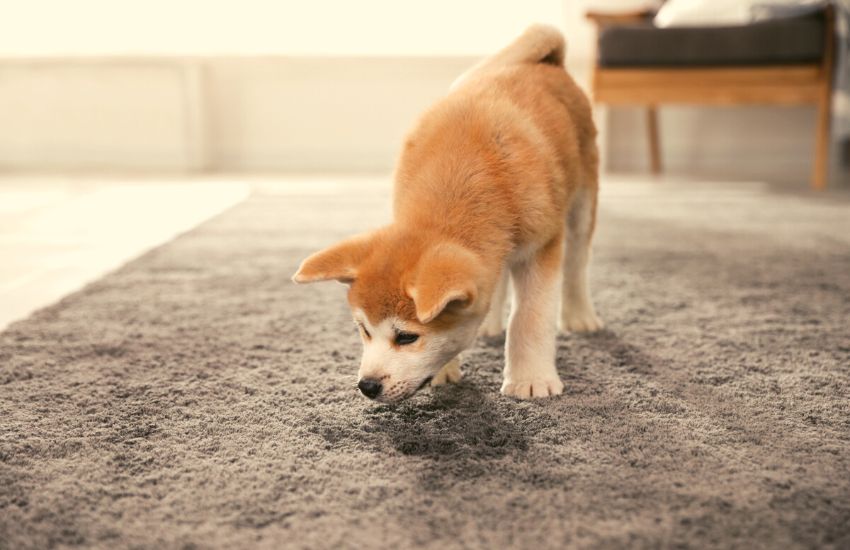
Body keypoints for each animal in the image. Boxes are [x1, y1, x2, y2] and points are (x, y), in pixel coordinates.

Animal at [294, 24, 600, 406]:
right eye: (363, 330)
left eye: (406, 337)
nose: (367, 386)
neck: (461, 174)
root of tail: (548, 63)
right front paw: (444, 370)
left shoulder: (541, 246)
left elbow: (529, 318)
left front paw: (530, 380)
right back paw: (489, 322)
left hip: (582, 199)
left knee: (576, 262)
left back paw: (579, 316)